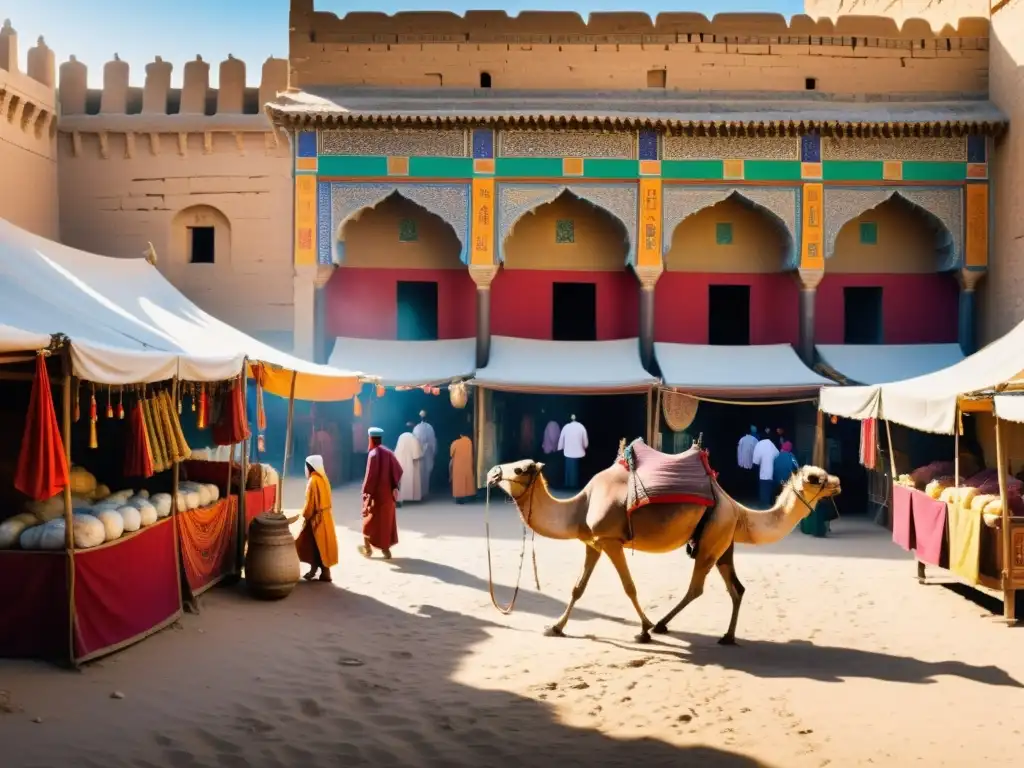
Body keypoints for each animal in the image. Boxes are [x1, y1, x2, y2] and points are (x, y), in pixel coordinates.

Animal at [487, 460, 839, 647]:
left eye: (520, 469)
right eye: (815, 477)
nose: (836, 482)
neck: (580, 507)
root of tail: (734, 506)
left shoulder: (611, 541)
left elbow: (629, 586)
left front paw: (643, 629)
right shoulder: (594, 543)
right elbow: (578, 588)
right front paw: (555, 628)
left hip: (711, 539)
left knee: (697, 587)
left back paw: (660, 625)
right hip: (723, 541)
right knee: (736, 588)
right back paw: (726, 636)